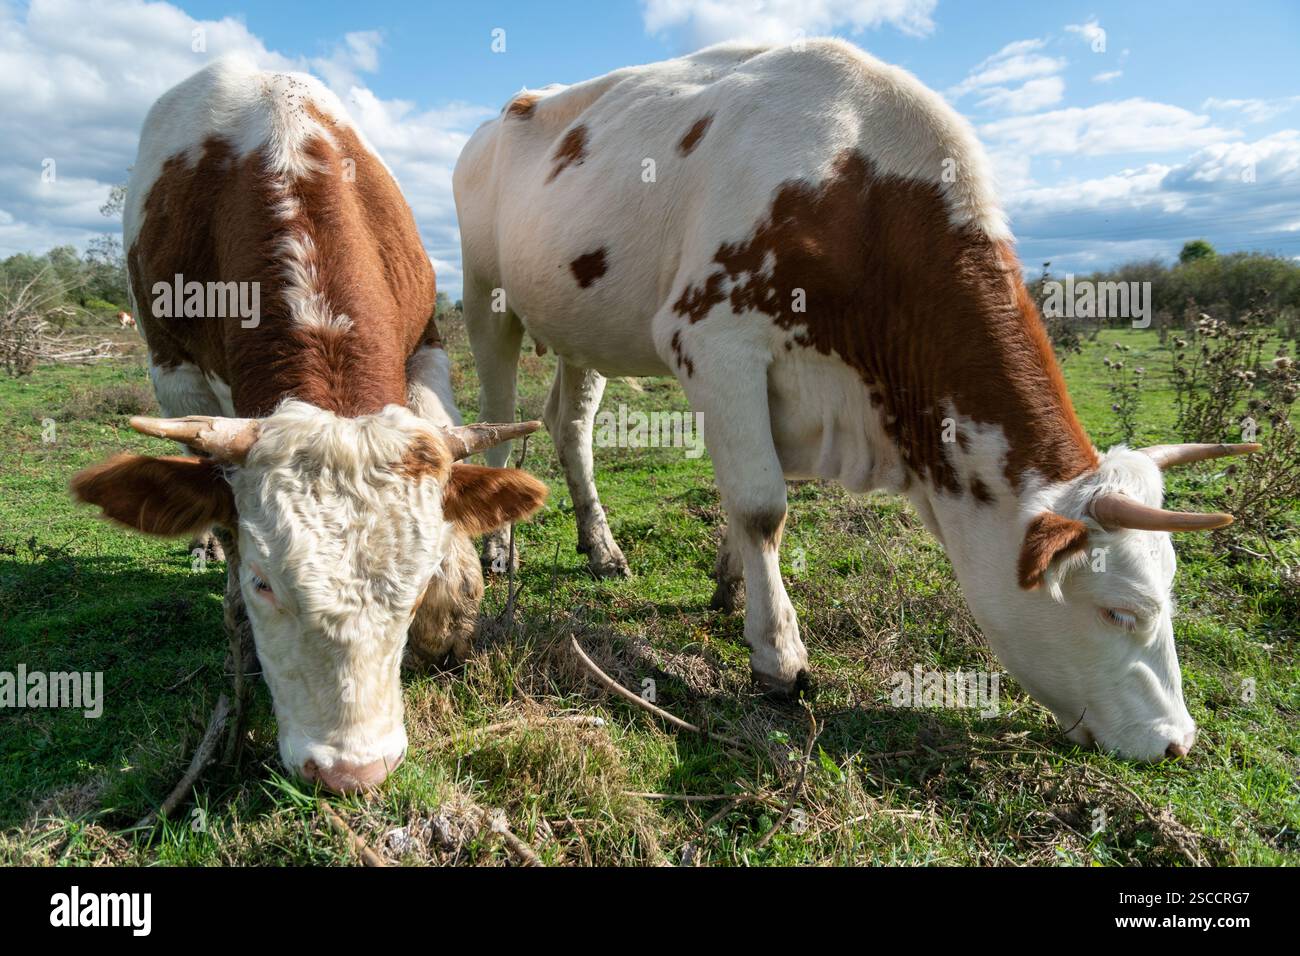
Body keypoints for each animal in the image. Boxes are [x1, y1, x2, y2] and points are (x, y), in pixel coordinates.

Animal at [71, 56, 549, 794]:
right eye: (264, 583)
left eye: (414, 588)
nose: (352, 771)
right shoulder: (173, 368)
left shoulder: (427, 343)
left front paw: (455, 604)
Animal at [453, 39, 1259, 762]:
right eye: (1121, 609)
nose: (1177, 742)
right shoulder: (711, 339)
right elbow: (762, 505)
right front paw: (778, 657)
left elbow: (755, 498)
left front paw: (730, 585)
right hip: (486, 295)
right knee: (497, 412)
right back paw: (498, 548)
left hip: (587, 324)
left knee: (570, 423)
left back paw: (601, 546)